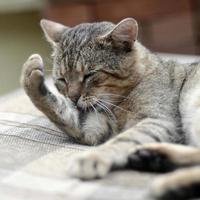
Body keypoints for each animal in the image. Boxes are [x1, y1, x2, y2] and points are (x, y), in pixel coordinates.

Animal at [20, 18, 200, 199]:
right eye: (62, 79)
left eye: (89, 75)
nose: (72, 98)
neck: (118, 103)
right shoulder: (92, 128)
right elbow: (60, 112)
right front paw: (30, 78)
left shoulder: (160, 120)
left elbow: (123, 139)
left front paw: (92, 157)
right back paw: (153, 158)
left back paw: (168, 181)